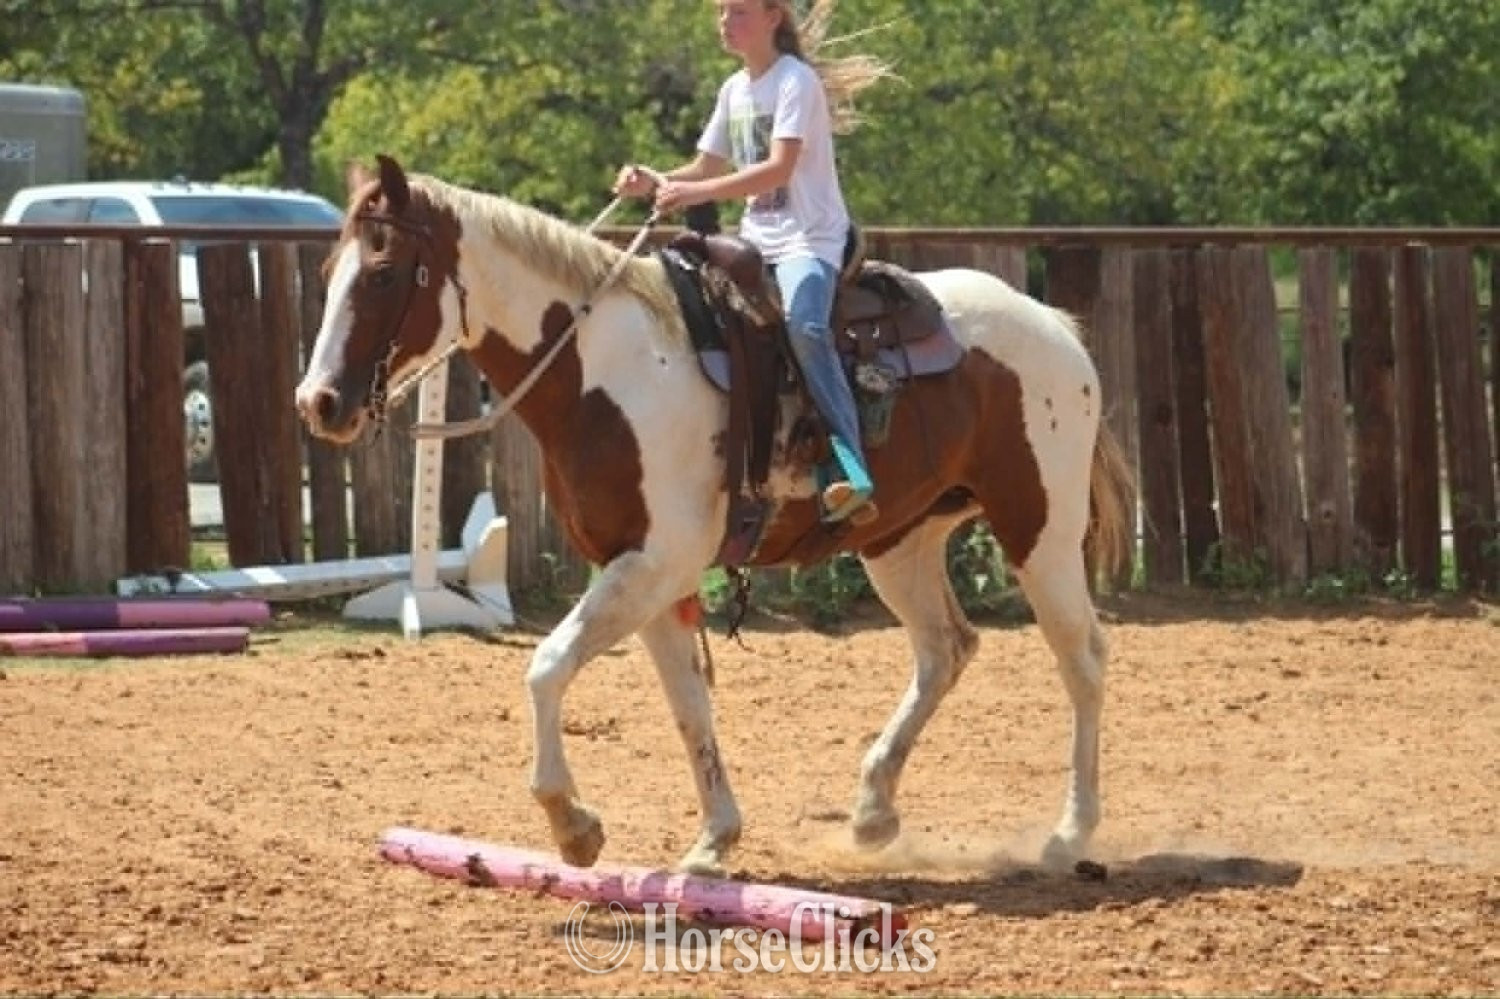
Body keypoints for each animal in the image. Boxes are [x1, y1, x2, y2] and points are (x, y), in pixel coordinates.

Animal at [295, 153, 1132, 876]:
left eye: (384, 272)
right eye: (329, 274)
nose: (319, 402)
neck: (604, 369)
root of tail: (1055, 326)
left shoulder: (652, 562)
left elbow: (546, 666)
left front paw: (573, 823)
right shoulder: (649, 575)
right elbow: (689, 705)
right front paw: (713, 838)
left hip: (1041, 529)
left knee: (1082, 658)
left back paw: (1070, 832)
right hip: (901, 540)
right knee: (945, 648)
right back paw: (872, 811)